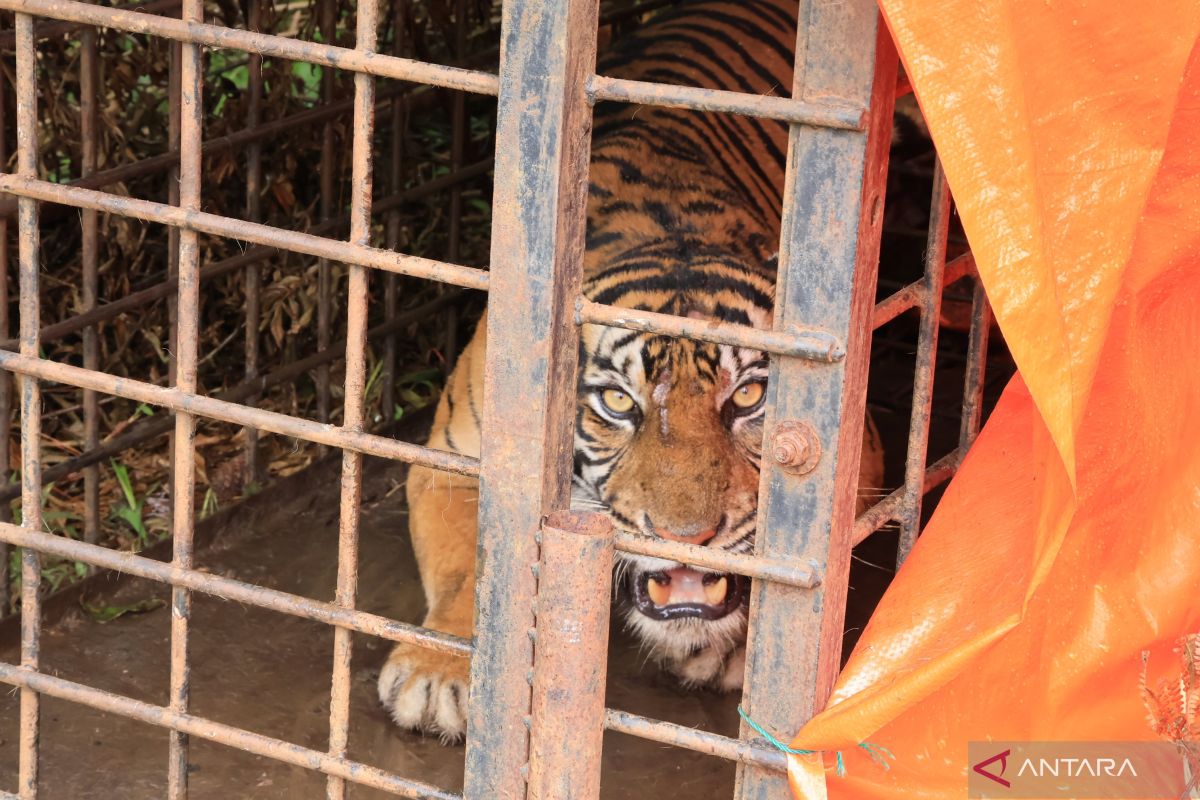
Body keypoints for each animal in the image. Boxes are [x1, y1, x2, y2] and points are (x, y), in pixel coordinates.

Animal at [379, 0, 888, 743]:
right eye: (619, 404)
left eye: (749, 396)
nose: (687, 541)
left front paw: (734, 648)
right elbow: (476, 562)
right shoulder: (455, 460)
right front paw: (437, 670)